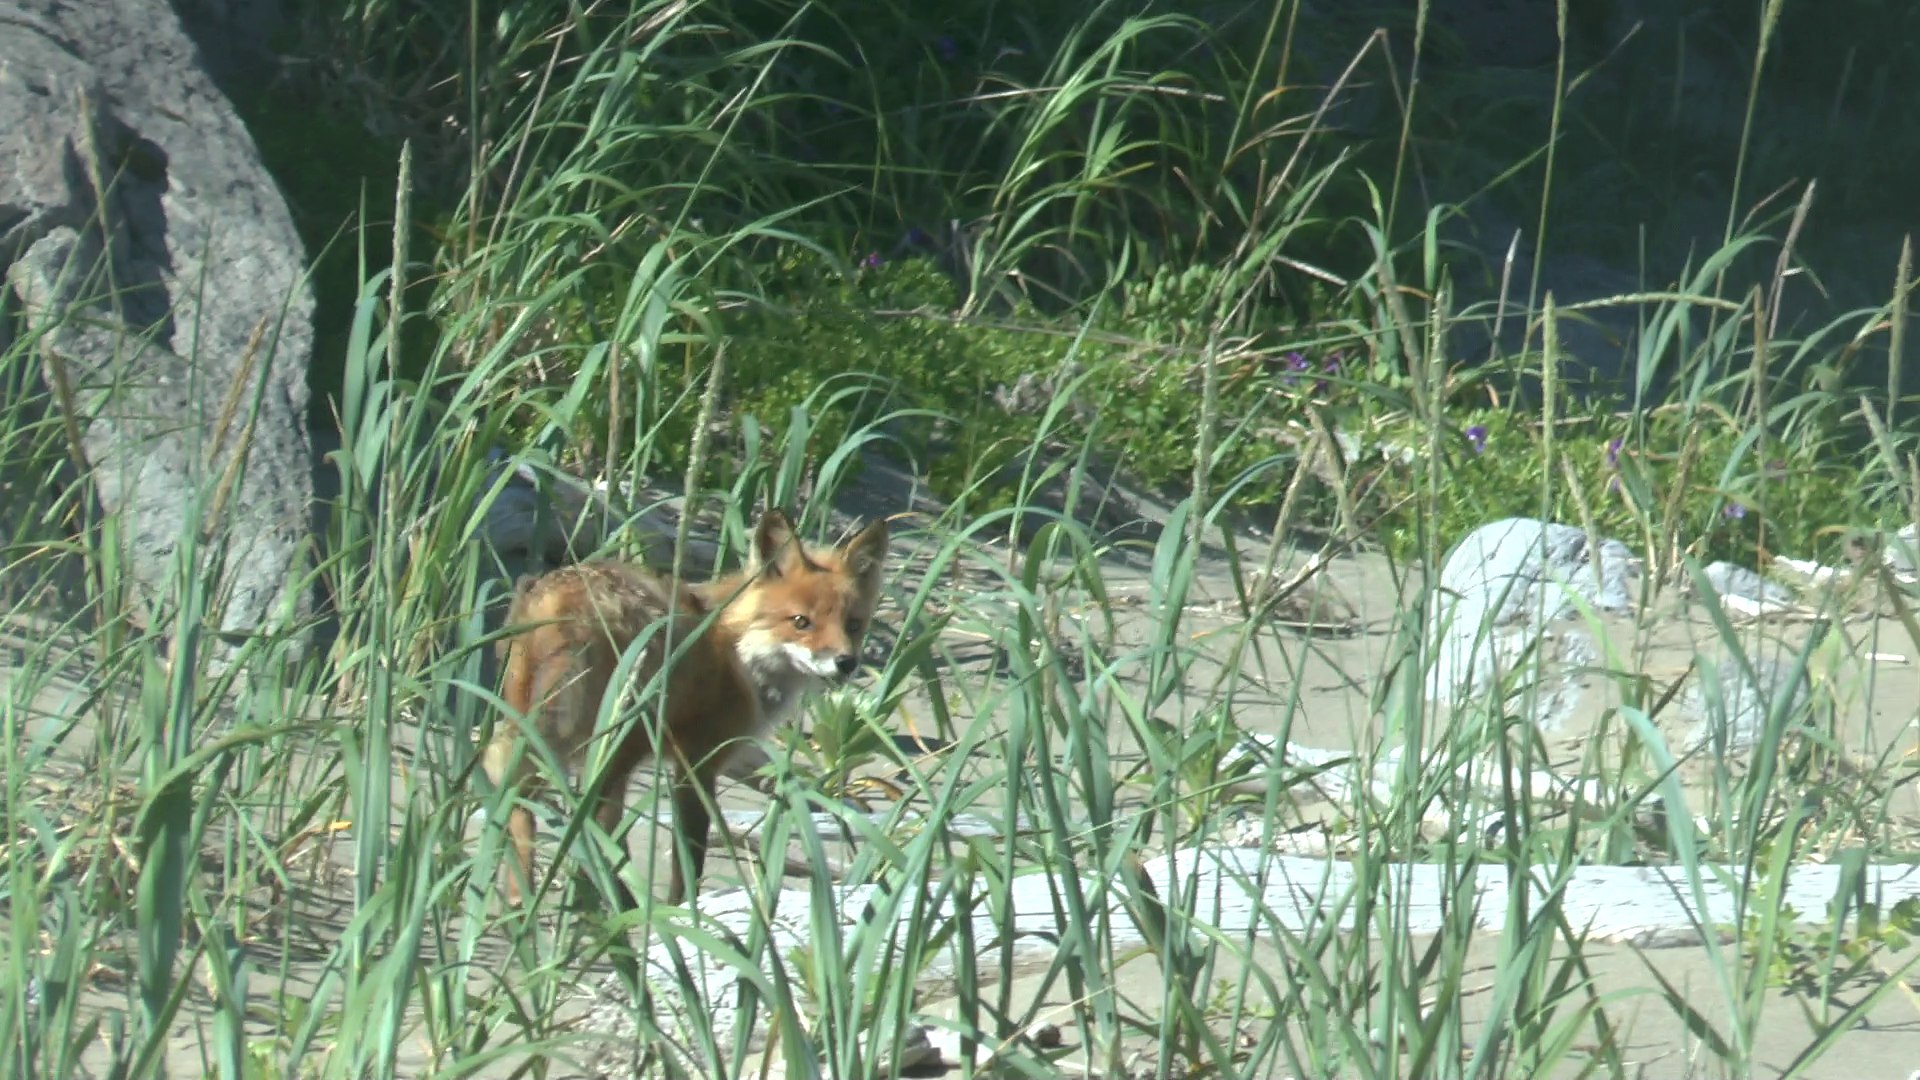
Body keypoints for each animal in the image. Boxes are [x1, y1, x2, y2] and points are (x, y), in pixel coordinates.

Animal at [481, 508, 892, 908]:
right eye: (801, 622)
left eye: (854, 624)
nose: (846, 663)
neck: (738, 651)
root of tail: (556, 594)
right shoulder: (695, 763)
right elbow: (691, 856)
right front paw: (685, 908)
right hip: (619, 745)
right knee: (589, 822)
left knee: (520, 789)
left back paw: (525, 894)